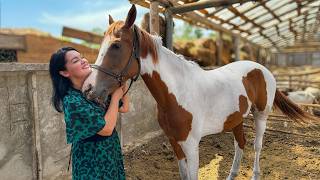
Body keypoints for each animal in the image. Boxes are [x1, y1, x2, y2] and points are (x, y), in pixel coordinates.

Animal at [82, 4, 316, 180]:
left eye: (116, 46)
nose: (89, 88)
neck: (177, 93)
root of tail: (262, 68)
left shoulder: (191, 146)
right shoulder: (175, 143)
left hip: (261, 116)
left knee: (257, 147)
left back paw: (255, 174)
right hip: (237, 119)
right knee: (240, 144)